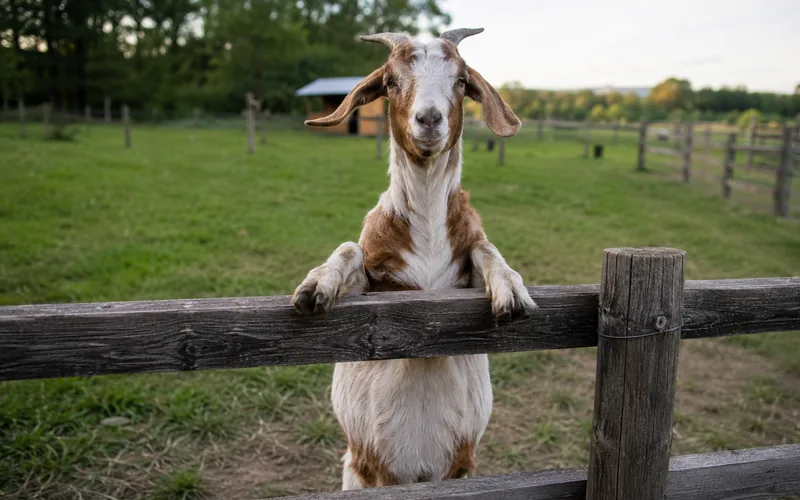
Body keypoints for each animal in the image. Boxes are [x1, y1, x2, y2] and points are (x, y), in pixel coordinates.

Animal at [291, 28, 537, 490]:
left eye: (461, 81)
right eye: (390, 81)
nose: (429, 119)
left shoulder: (462, 277)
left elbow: (484, 248)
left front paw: (511, 290)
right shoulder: (374, 286)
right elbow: (350, 249)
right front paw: (316, 285)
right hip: (359, 470)